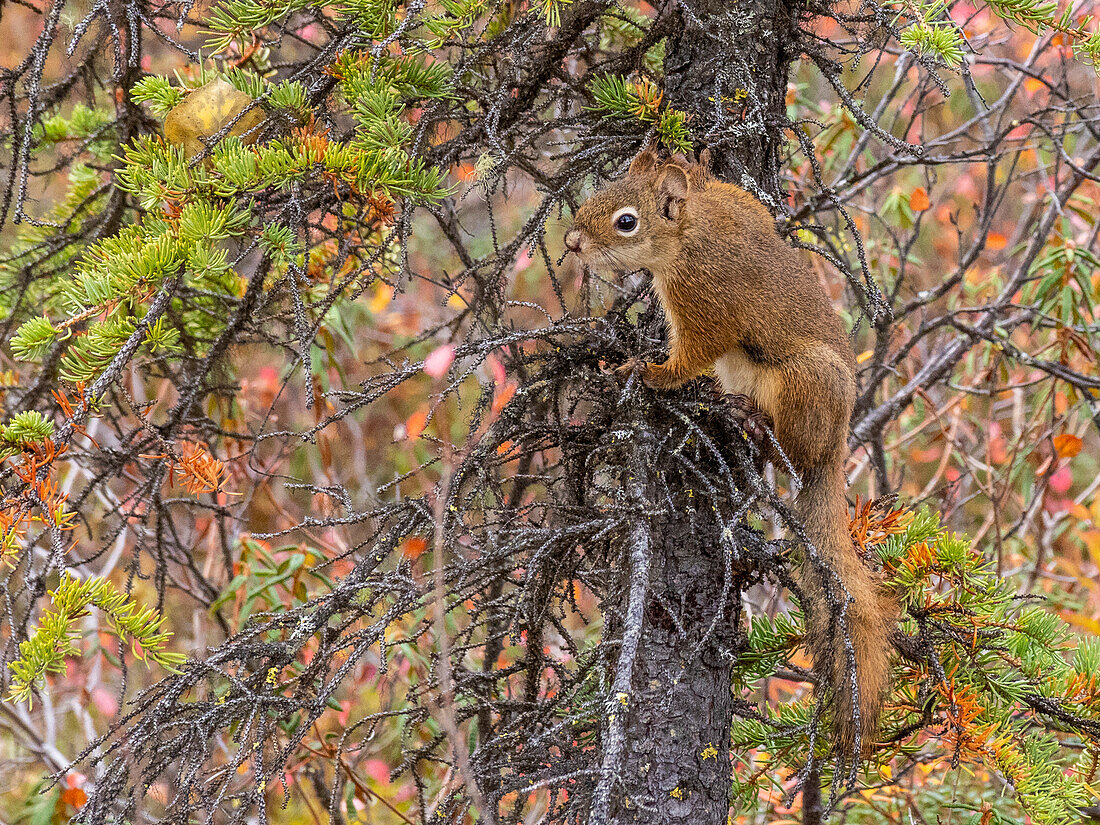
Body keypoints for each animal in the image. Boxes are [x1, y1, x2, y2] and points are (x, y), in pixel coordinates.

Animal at [563, 150, 897, 761]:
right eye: (602, 190)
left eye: (626, 222)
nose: (573, 242)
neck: (690, 232)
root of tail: (834, 451)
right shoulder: (729, 203)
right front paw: (683, 156)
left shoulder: (704, 296)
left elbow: (694, 353)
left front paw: (647, 371)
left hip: (805, 383)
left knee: (789, 451)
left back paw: (759, 429)